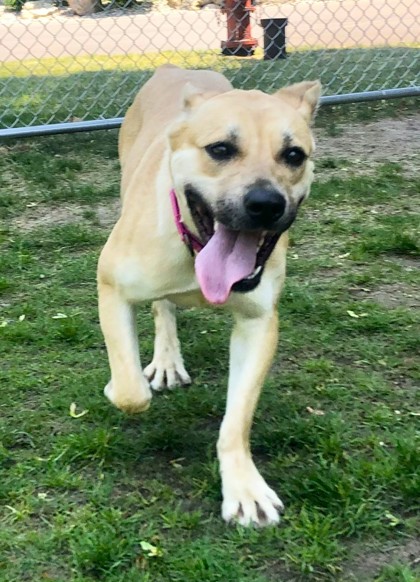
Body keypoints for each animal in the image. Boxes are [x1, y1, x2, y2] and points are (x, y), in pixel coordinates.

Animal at [97, 65, 322, 528]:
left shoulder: (258, 323)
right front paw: (117, 385)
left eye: (293, 155)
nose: (265, 203)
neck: (196, 251)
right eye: (220, 149)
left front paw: (244, 489)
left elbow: (236, 421)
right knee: (162, 309)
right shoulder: (110, 284)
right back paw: (166, 360)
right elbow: (130, 392)